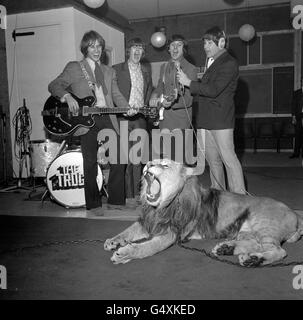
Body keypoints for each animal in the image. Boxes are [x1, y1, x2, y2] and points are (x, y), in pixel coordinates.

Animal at [105, 159, 303, 266]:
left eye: (165, 165)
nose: (147, 164)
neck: (161, 206)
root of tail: (296, 214)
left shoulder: (171, 233)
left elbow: (147, 248)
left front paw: (124, 253)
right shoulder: (148, 221)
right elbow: (128, 231)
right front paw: (113, 241)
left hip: (265, 225)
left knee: (278, 251)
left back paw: (254, 260)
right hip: (246, 231)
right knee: (256, 244)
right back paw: (228, 249)